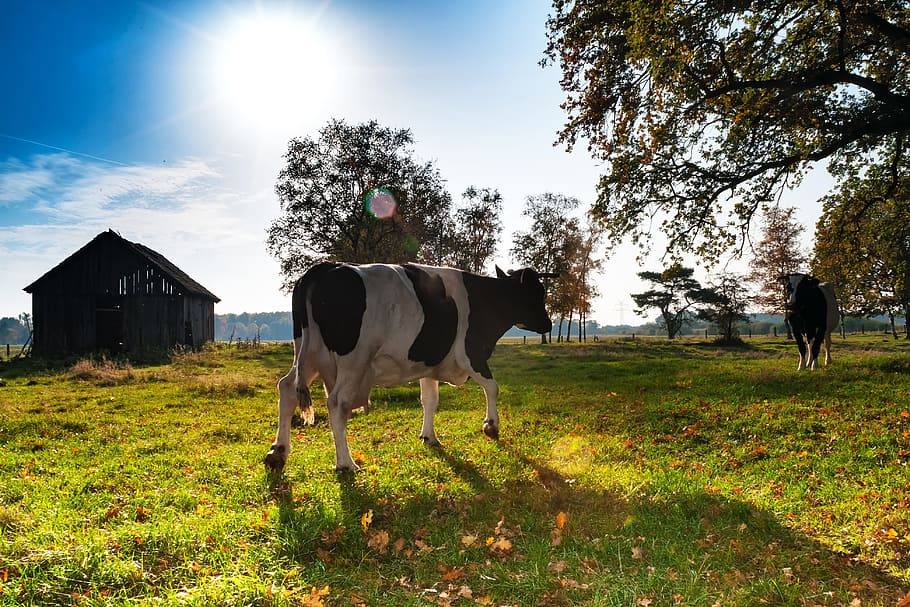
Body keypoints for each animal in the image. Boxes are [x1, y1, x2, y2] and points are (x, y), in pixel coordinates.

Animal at [264, 262, 555, 473]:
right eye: (536, 293)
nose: (549, 324)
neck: (484, 300)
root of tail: (325, 267)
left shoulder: (429, 364)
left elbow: (430, 400)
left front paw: (429, 436)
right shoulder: (470, 354)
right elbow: (493, 387)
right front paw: (491, 426)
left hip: (308, 354)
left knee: (287, 389)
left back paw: (278, 452)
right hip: (353, 361)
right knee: (337, 403)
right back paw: (346, 463)